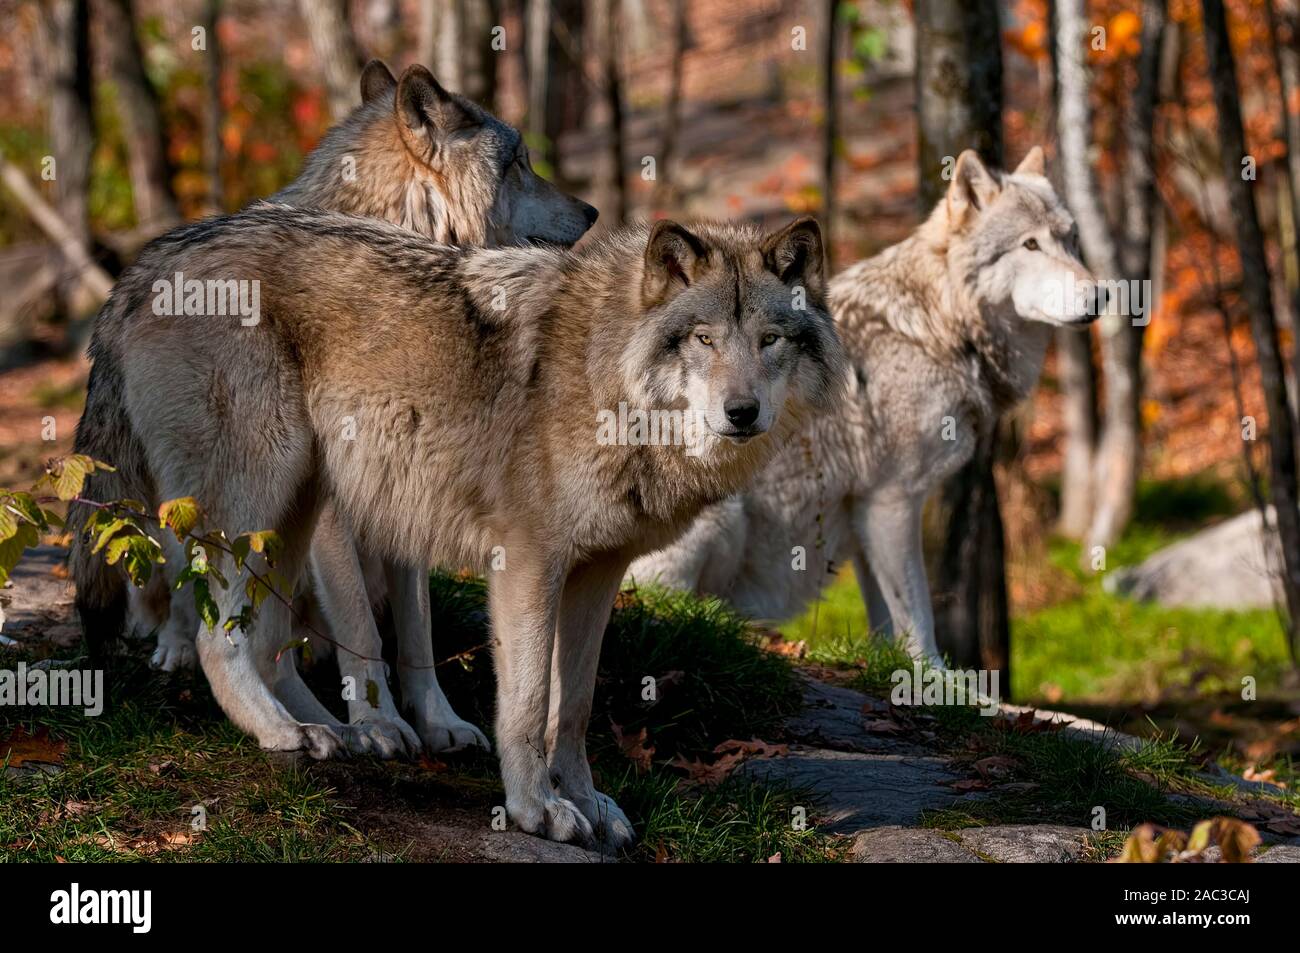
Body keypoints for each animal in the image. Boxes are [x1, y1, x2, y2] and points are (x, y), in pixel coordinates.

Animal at [71, 202, 847, 847]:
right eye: (704, 339)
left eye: (770, 340)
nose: (742, 412)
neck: (605, 376)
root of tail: (144, 263)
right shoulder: (528, 564)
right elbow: (528, 705)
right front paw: (537, 811)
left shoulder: (598, 573)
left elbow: (574, 706)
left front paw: (587, 803)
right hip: (254, 501)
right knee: (215, 637)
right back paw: (284, 733)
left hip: (291, 511)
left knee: (265, 639)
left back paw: (328, 729)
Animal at [73, 57, 595, 759]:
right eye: (520, 162)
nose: (594, 210)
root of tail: (131, 280)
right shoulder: (338, 514)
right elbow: (362, 631)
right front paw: (381, 724)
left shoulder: (404, 491)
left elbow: (416, 632)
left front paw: (438, 722)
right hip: (258, 485)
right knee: (209, 619)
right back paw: (273, 719)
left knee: (269, 639)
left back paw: (319, 723)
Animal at [629, 150, 1097, 670]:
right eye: (1030, 244)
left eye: (1071, 239)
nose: (1101, 295)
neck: (937, 329)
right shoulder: (891, 502)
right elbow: (917, 613)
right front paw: (935, 677)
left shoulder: (863, 514)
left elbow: (886, 621)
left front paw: (888, 667)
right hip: (719, 517)